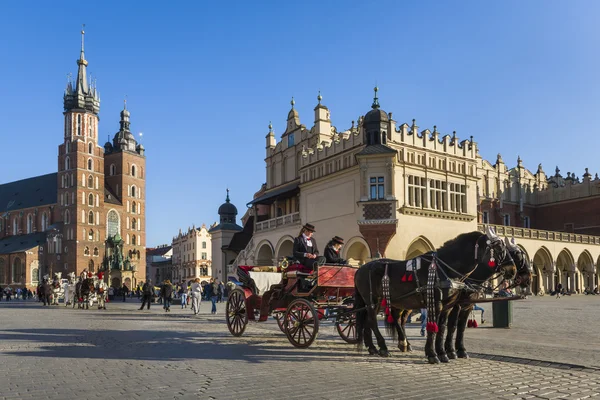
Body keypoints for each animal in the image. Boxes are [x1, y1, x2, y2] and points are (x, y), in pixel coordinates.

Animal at [354, 228, 516, 362]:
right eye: (499, 247)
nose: (512, 270)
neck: (445, 267)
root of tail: (360, 269)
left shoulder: (450, 306)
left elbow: (444, 328)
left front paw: (444, 353)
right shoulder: (437, 303)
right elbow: (436, 328)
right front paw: (433, 354)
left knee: (380, 320)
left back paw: (376, 347)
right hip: (373, 300)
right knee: (373, 321)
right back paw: (383, 347)